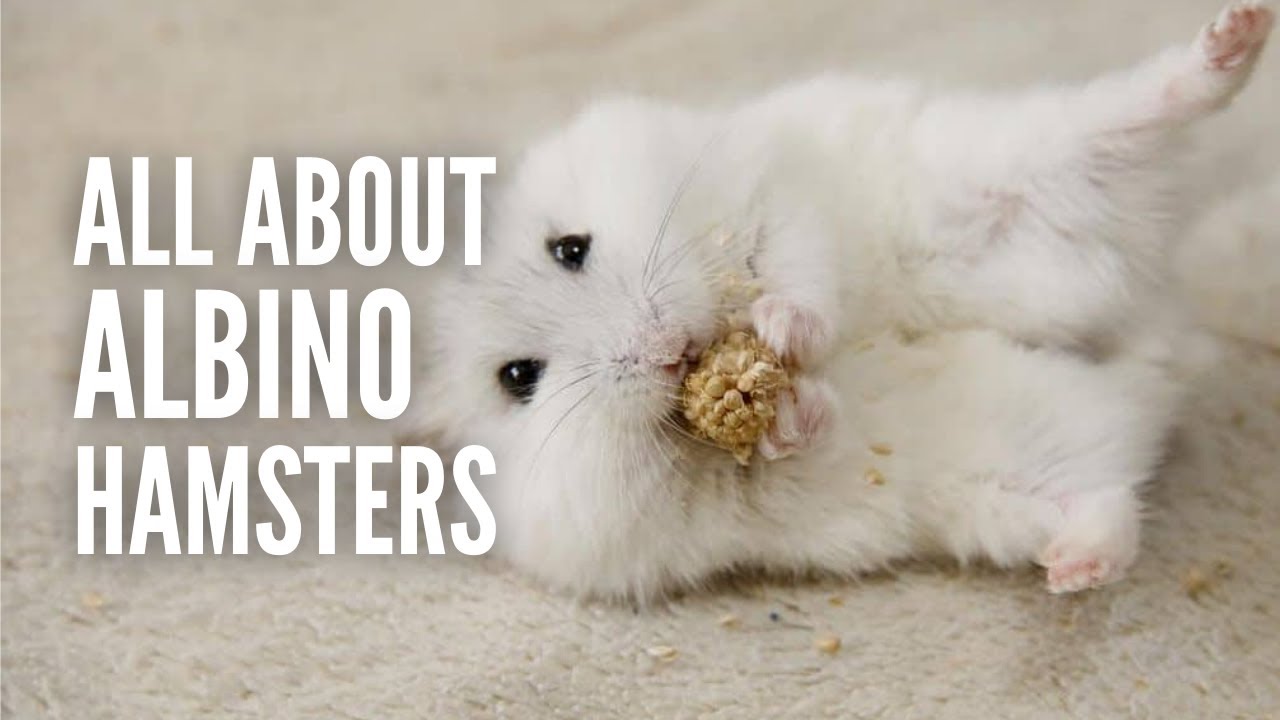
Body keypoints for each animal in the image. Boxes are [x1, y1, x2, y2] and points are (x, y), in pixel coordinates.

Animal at [411, 2, 1272, 600]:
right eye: (519, 379)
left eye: (570, 248)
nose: (670, 352)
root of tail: (1159, 349)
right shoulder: (701, 505)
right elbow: (788, 449)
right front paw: (786, 410)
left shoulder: (769, 191)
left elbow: (801, 271)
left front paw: (782, 334)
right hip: (1018, 483)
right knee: (1110, 503)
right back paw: (1075, 570)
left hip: (1026, 173)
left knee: (1153, 106)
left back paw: (1238, 34)